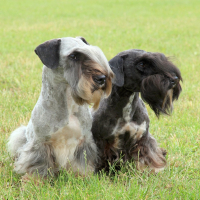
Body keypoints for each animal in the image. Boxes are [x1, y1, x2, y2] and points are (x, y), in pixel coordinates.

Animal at [7, 36, 113, 177]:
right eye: (73, 56)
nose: (101, 78)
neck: (68, 105)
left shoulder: (84, 141)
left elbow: (82, 164)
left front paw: (83, 177)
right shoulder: (40, 143)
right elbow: (38, 165)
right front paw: (34, 180)